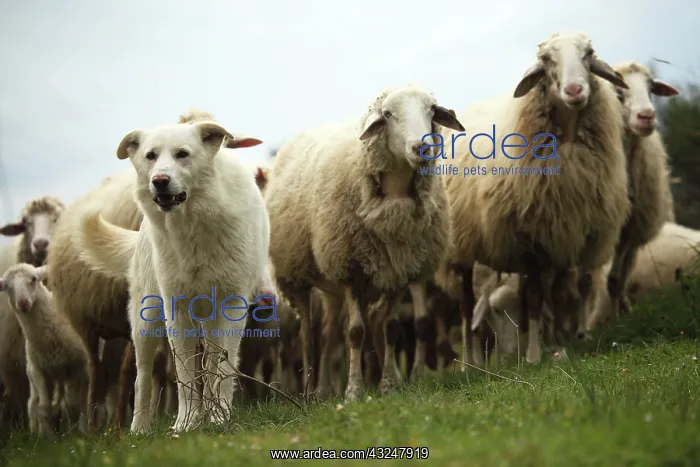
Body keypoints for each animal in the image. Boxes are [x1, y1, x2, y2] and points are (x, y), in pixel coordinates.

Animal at [0, 264, 90, 438]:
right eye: (7, 287)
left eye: (34, 279)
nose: (23, 303)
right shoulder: (37, 370)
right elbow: (43, 408)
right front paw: (46, 438)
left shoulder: (77, 367)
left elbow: (73, 406)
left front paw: (76, 435)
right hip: (36, 375)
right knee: (33, 403)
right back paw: (35, 432)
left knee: (80, 402)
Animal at [76, 118, 268, 434]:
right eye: (151, 156)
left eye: (182, 154)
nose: (160, 180)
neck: (192, 225)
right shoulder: (176, 309)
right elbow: (184, 373)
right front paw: (186, 423)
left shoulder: (231, 304)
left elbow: (221, 368)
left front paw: (218, 416)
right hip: (146, 320)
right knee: (141, 377)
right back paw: (139, 429)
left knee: (211, 363)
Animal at [264, 83, 465, 401]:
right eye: (388, 114)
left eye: (432, 110)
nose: (421, 148)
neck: (394, 199)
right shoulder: (350, 269)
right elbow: (355, 332)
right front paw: (353, 391)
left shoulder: (399, 271)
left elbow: (390, 328)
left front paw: (389, 385)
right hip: (295, 275)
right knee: (308, 334)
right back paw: (308, 390)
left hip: (331, 286)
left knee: (328, 333)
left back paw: (323, 389)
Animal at [438, 32, 631, 366]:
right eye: (546, 59)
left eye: (589, 53)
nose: (575, 90)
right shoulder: (531, 240)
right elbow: (537, 298)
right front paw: (533, 356)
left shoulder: (567, 236)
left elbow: (558, 296)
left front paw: (559, 345)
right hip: (461, 247)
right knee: (467, 306)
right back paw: (472, 363)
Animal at [604, 61, 680, 321]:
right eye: (618, 92)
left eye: (651, 89)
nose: (647, 116)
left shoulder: (629, 229)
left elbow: (615, 279)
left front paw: (617, 321)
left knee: (625, 271)